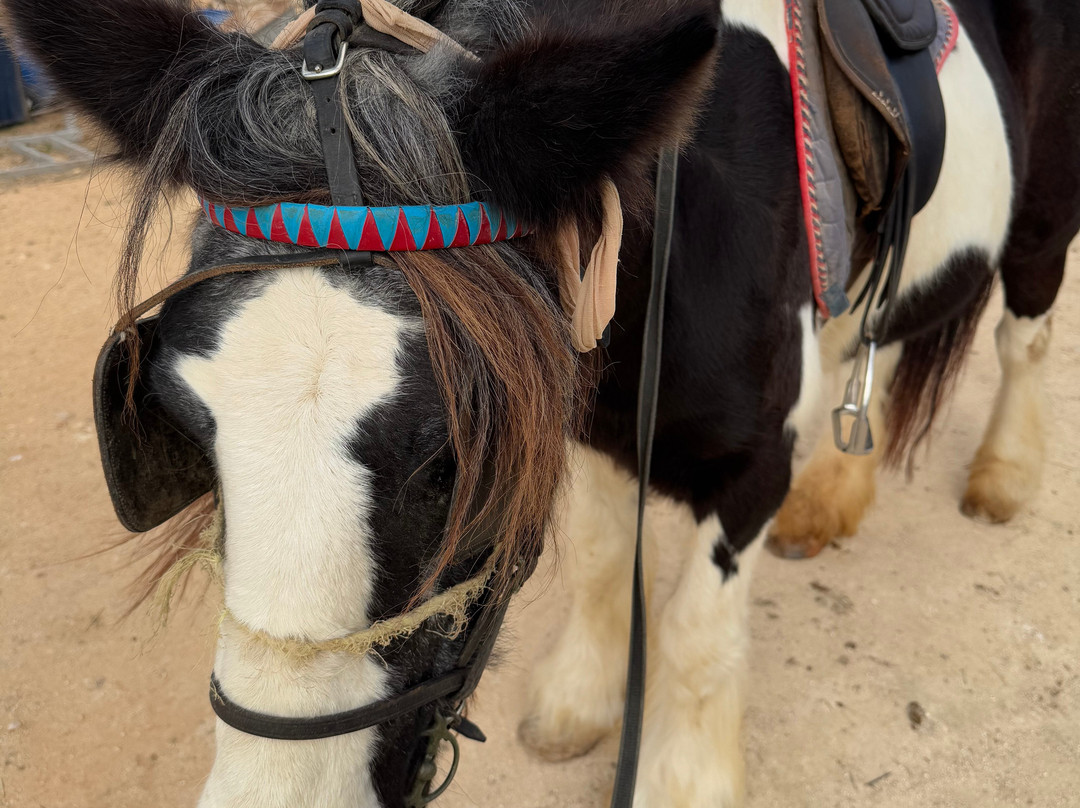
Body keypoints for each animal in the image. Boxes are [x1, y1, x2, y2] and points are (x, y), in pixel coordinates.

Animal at [6, 0, 1079, 805]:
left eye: (454, 463)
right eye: (188, 433)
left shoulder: (750, 466)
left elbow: (692, 633)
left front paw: (681, 781)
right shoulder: (590, 413)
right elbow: (605, 556)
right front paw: (579, 701)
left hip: (1042, 217)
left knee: (1021, 331)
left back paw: (1001, 473)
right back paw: (838, 494)